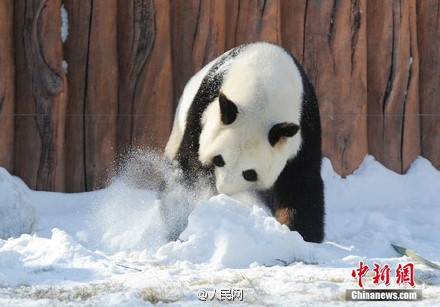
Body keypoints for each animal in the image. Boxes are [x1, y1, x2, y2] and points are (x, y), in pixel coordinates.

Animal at [162, 41, 324, 243]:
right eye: (219, 159)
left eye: (249, 173)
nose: (223, 191)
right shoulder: (202, 112)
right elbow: (191, 166)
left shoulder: (305, 128)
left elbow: (300, 183)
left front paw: (302, 234)